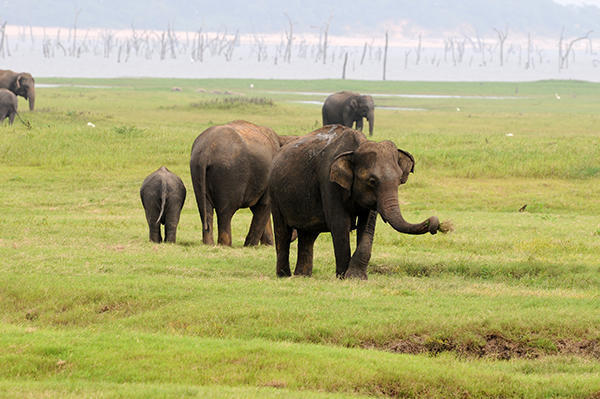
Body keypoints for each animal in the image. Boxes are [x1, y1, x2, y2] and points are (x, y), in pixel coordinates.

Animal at [190, 120, 298, 248]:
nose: (292, 237)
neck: (282, 138)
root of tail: (206, 151)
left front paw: (266, 246)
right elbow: (264, 205)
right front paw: (252, 246)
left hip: (197, 170)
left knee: (205, 209)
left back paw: (209, 245)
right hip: (229, 173)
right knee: (225, 212)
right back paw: (225, 245)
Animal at [268, 126, 450, 280]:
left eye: (399, 180)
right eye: (372, 181)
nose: (436, 223)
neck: (354, 150)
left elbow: (367, 225)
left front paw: (357, 278)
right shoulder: (329, 182)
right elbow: (339, 223)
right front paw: (343, 277)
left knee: (308, 235)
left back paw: (302, 276)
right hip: (275, 194)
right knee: (282, 231)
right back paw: (284, 275)